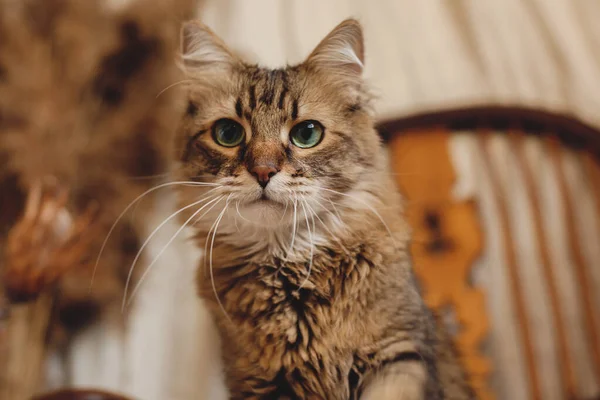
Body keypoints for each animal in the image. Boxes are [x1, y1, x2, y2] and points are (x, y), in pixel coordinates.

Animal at [175, 18, 478, 400]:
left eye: (307, 134)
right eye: (228, 133)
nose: (263, 172)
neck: (287, 263)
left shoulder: (399, 354)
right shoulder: (257, 382)